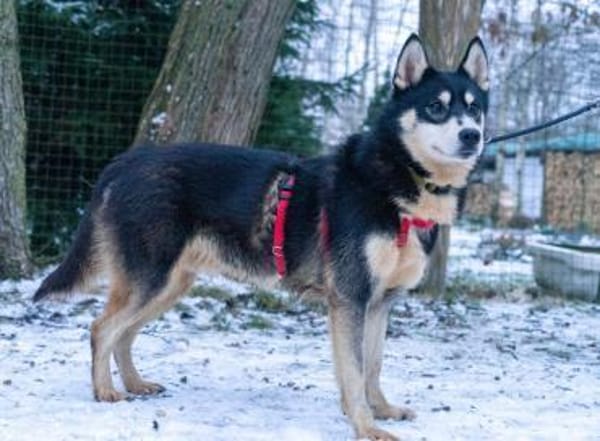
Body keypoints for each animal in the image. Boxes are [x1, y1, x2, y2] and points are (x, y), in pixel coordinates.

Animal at [34, 34, 488, 440]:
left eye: (475, 109)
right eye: (435, 107)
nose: (472, 136)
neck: (397, 183)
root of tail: (125, 162)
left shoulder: (380, 303)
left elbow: (372, 368)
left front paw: (382, 410)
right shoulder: (350, 300)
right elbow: (355, 373)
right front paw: (366, 427)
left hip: (168, 286)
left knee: (124, 334)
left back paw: (135, 384)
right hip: (150, 281)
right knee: (102, 328)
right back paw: (105, 391)